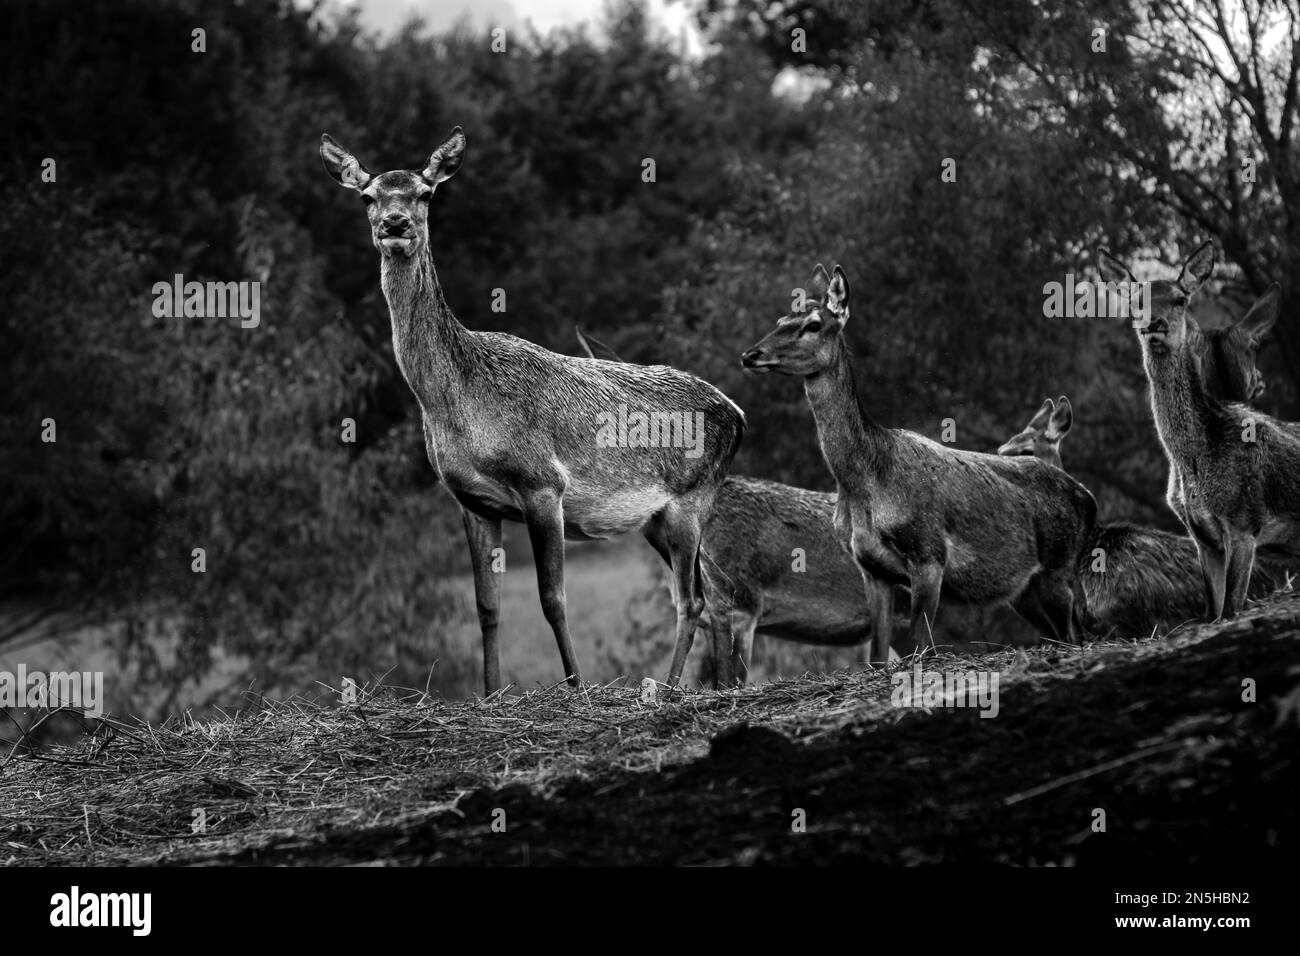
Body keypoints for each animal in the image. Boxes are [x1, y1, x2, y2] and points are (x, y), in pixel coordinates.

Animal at [319, 128, 748, 697]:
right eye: (367, 196)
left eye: (425, 193)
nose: (394, 223)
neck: (459, 406)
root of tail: (739, 414)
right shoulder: (473, 502)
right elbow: (487, 607)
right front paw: (491, 694)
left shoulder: (543, 483)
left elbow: (553, 599)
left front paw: (576, 688)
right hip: (657, 519)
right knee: (710, 594)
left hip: (691, 500)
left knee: (691, 599)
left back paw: (668, 688)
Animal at [743, 265, 1097, 660]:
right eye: (781, 319)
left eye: (814, 324)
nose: (751, 354)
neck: (864, 485)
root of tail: (1089, 499)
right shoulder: (871, 569)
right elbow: (876, 657)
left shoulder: (929, 556)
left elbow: (921, 645)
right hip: (1026, 591)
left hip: (1058, 567)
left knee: (1075, 635)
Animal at [1102, 240, 1300, 621]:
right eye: (1135, 300)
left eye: (1181, 299)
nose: (1155, 324)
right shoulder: (1201, 538)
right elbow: (1213, 610)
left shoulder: (1243, 524)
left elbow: (1231, 610)